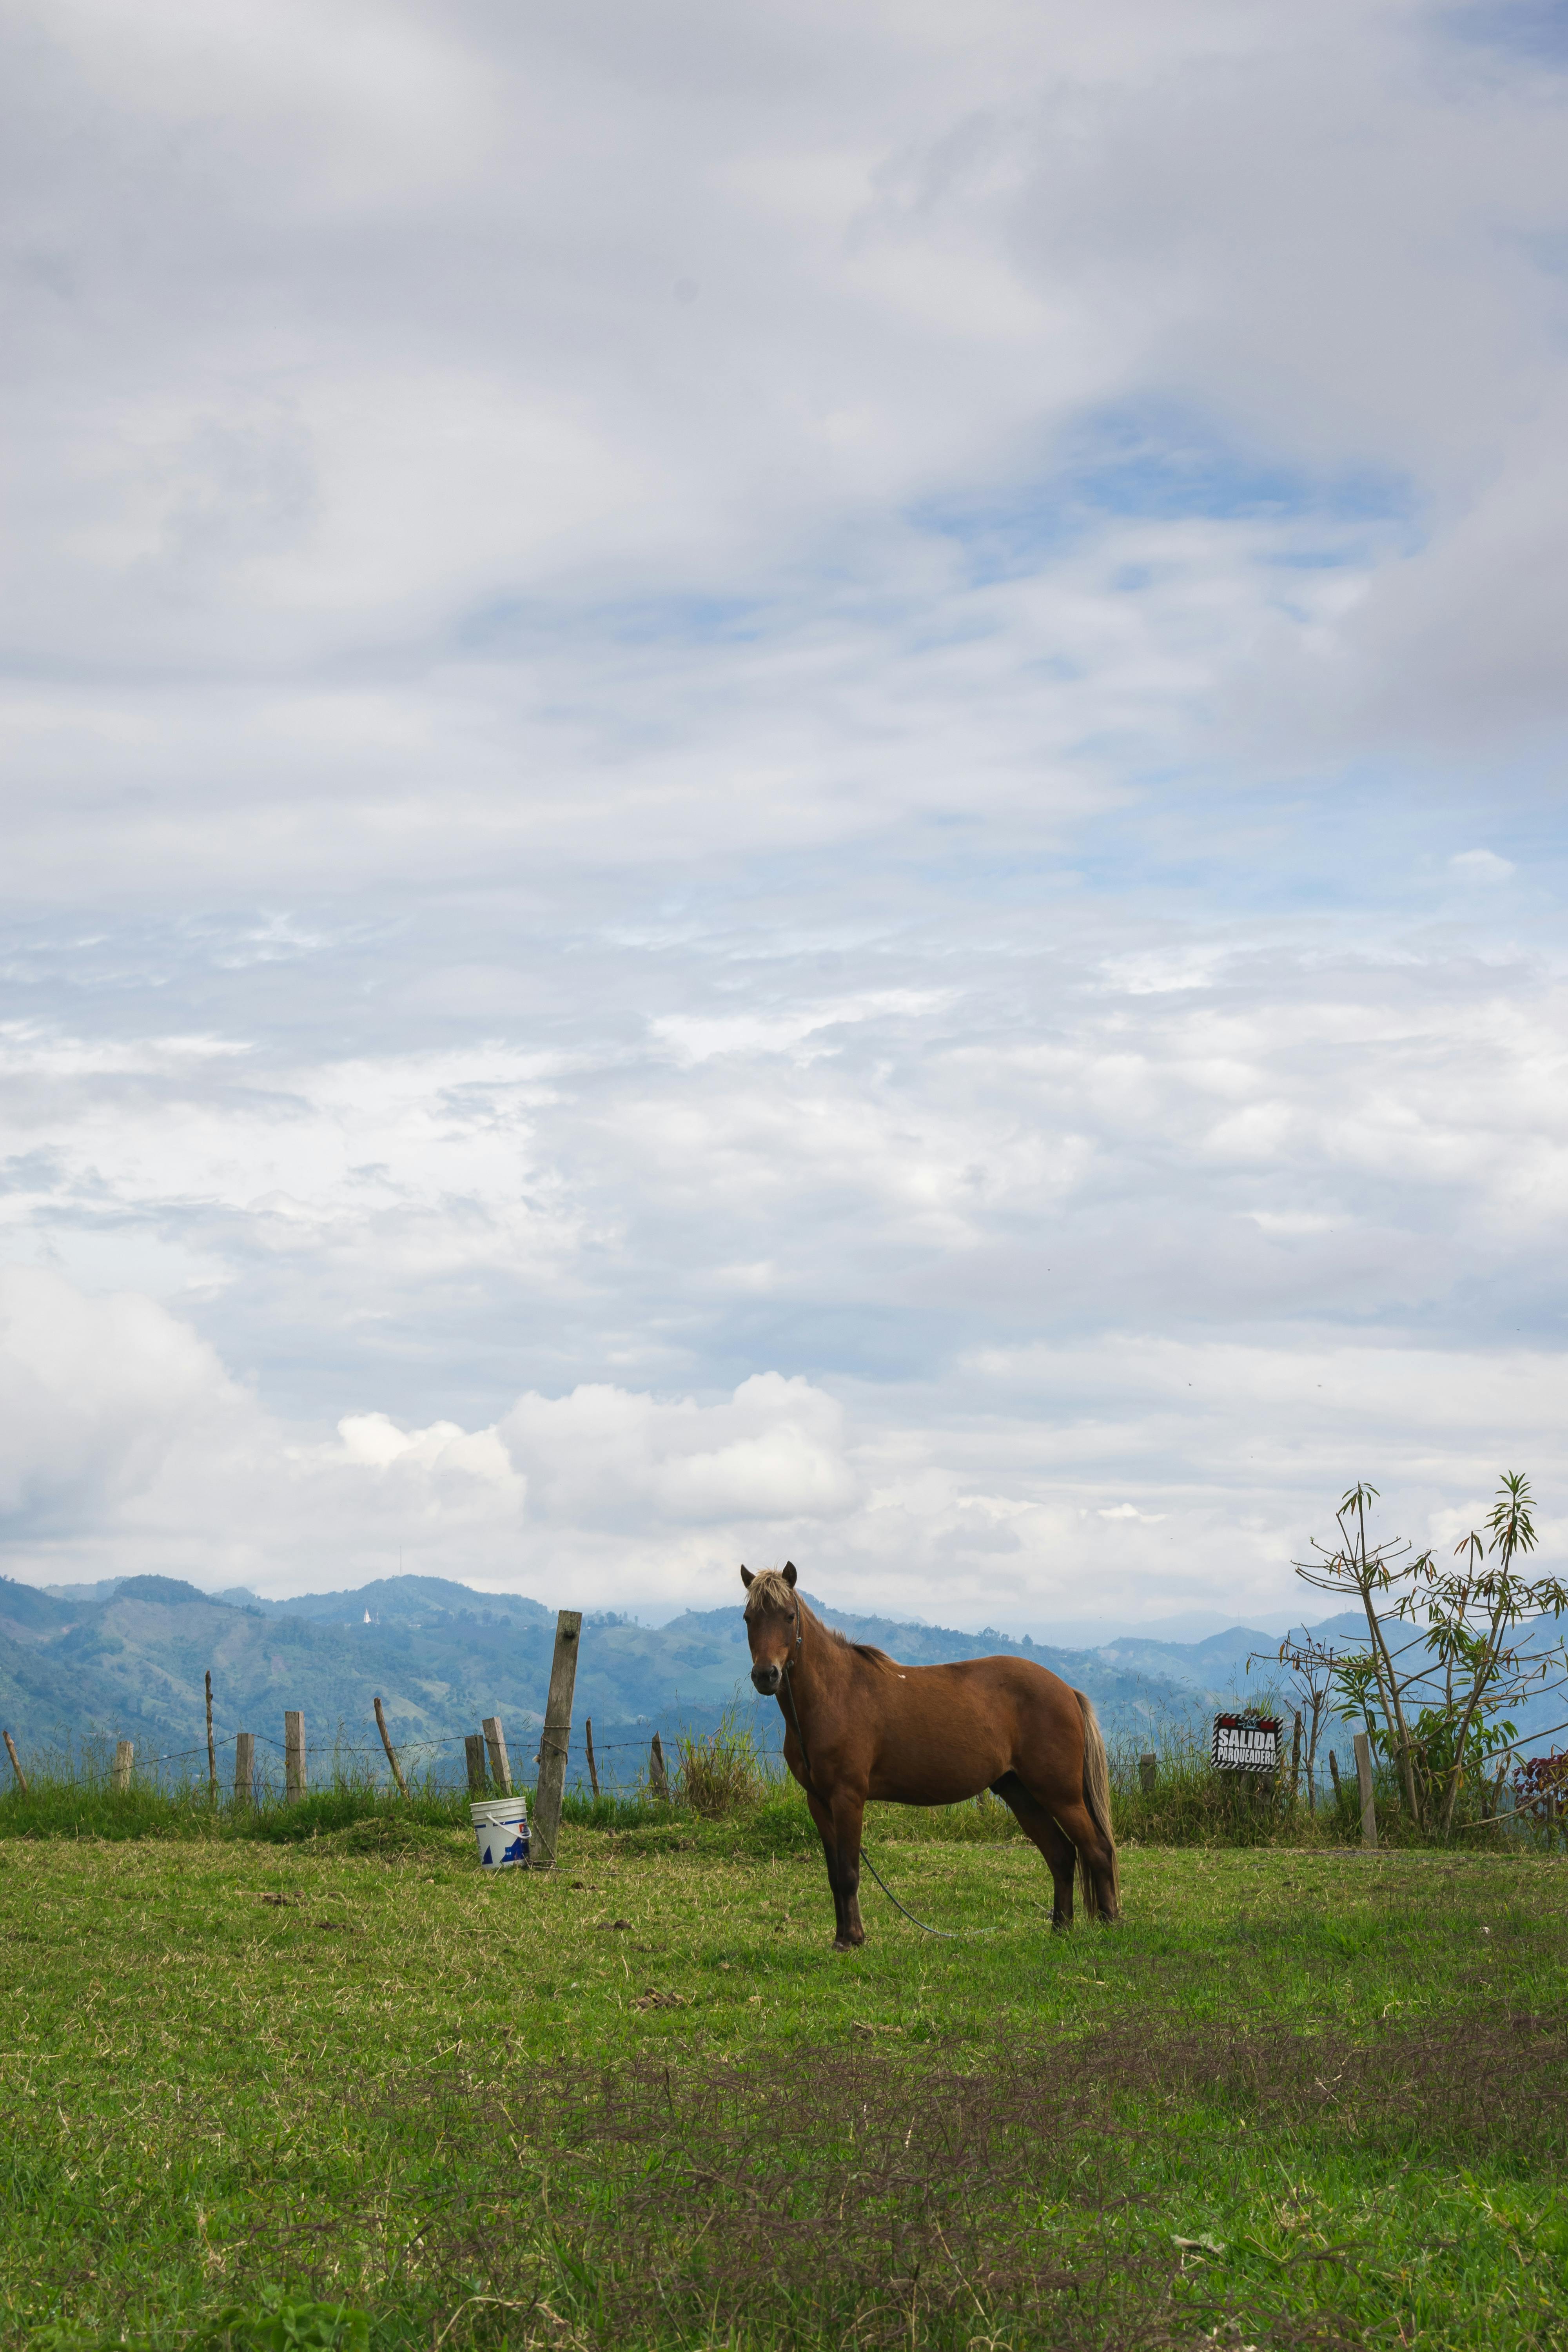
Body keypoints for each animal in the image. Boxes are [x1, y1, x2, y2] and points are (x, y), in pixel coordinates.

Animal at [741, 1561, 1120, 1948]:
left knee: (1098, 1850)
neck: (836, 1694)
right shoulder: (818, 1801)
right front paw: (841, 1938)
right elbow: (834, 1876)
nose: (766, 1675)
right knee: (1062, 1855)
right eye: (749, 1618)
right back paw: (1061, 1928)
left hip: (1061, 1795)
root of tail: (1067, 1691)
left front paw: (854, 1939)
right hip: (1021, 1793)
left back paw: (1110, 1924)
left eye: (789, 1616)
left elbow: (848, 1873)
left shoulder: (848, 1798)